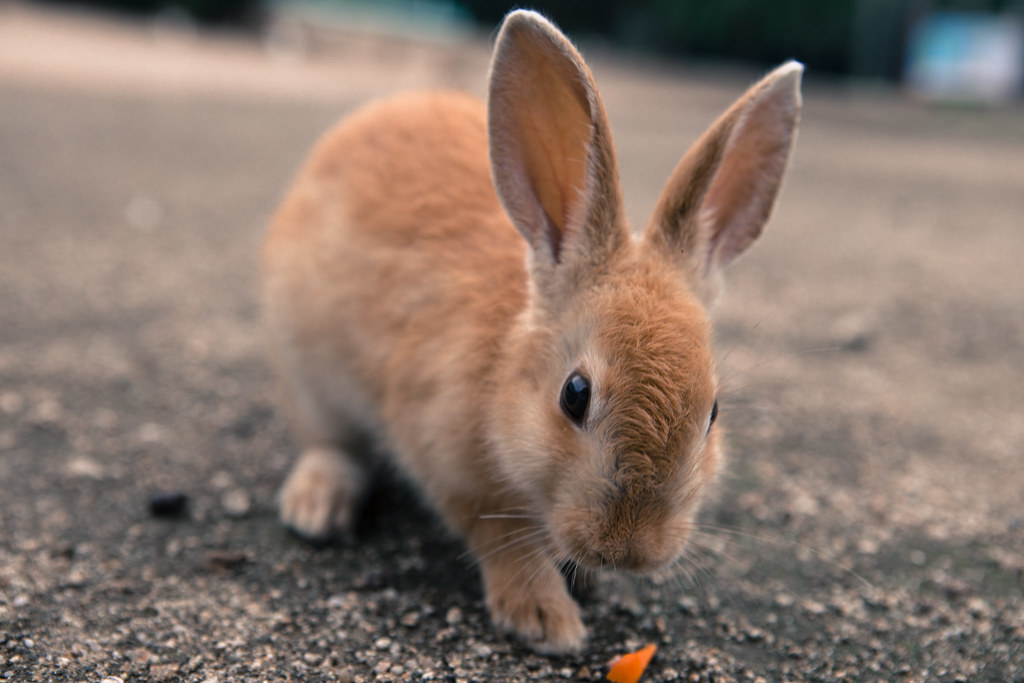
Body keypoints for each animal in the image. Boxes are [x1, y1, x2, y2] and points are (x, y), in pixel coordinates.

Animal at [262, 9, 802, 654]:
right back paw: (317, 507)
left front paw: (584, 582)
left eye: (714, 413)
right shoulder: (451, 464)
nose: (629, 551)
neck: (502, 373)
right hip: (305, 369)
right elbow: (502, 541)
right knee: (330, 442)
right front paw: (547, 620)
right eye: (575, 394)